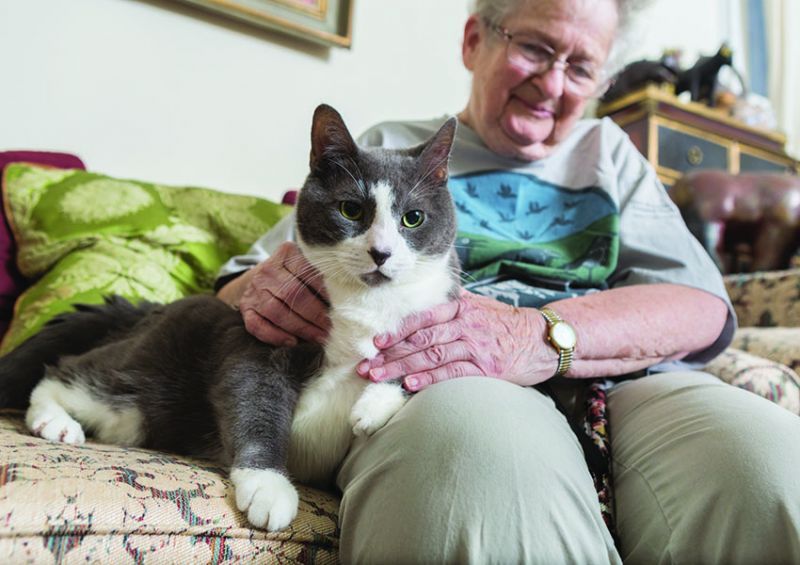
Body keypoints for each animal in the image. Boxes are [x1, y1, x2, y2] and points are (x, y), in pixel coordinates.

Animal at [0, 103, 460, 532]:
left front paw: (374, 405)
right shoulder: (260, 339)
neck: (367, 302)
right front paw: (267, 487)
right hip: (144, 375)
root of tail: (147, 311)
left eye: (413, 218)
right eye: (350, 210)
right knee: (66, 370)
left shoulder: (438, 313)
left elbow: (426, 359)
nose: (381, 253)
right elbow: (253, 399)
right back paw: (55, 422)